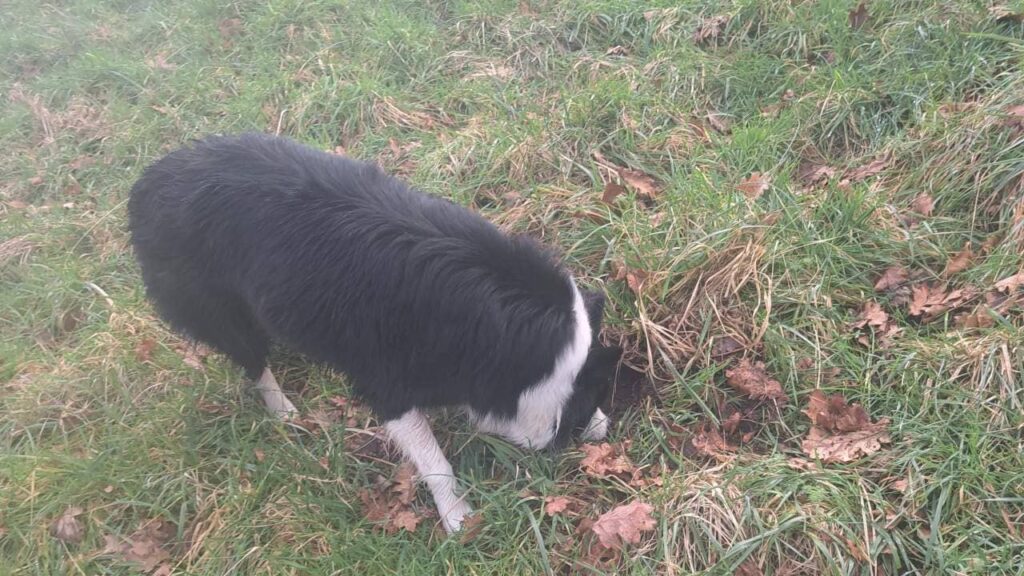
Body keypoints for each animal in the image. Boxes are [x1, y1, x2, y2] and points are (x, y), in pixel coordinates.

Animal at [128, 132, 622, 532]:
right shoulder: (387, 388)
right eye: (583, 400)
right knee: (253, 363)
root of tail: (151, 178)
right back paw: (285, 412)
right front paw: (458, 517)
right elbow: (434, 460)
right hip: (221, 315)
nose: (603, 428)